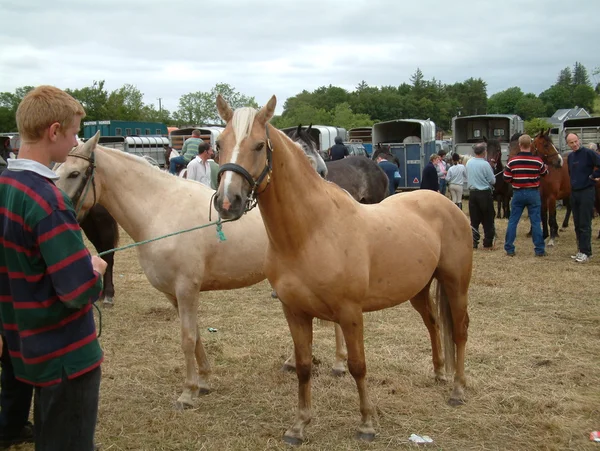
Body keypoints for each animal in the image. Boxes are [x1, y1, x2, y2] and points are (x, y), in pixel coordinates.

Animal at [213, 96, 472, 444]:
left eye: (257, 145)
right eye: (219, 144)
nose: (228, 202)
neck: (311, 231)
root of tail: (446, 204)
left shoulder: (350, 312)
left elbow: (357, 365)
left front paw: (367, 423)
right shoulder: (294, 312)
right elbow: (304, 365)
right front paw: (299, 425)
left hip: (456, 284)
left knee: (458, 330)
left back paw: (457, 390)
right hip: (418, 289)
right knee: (433, 324)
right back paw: (439, 373)